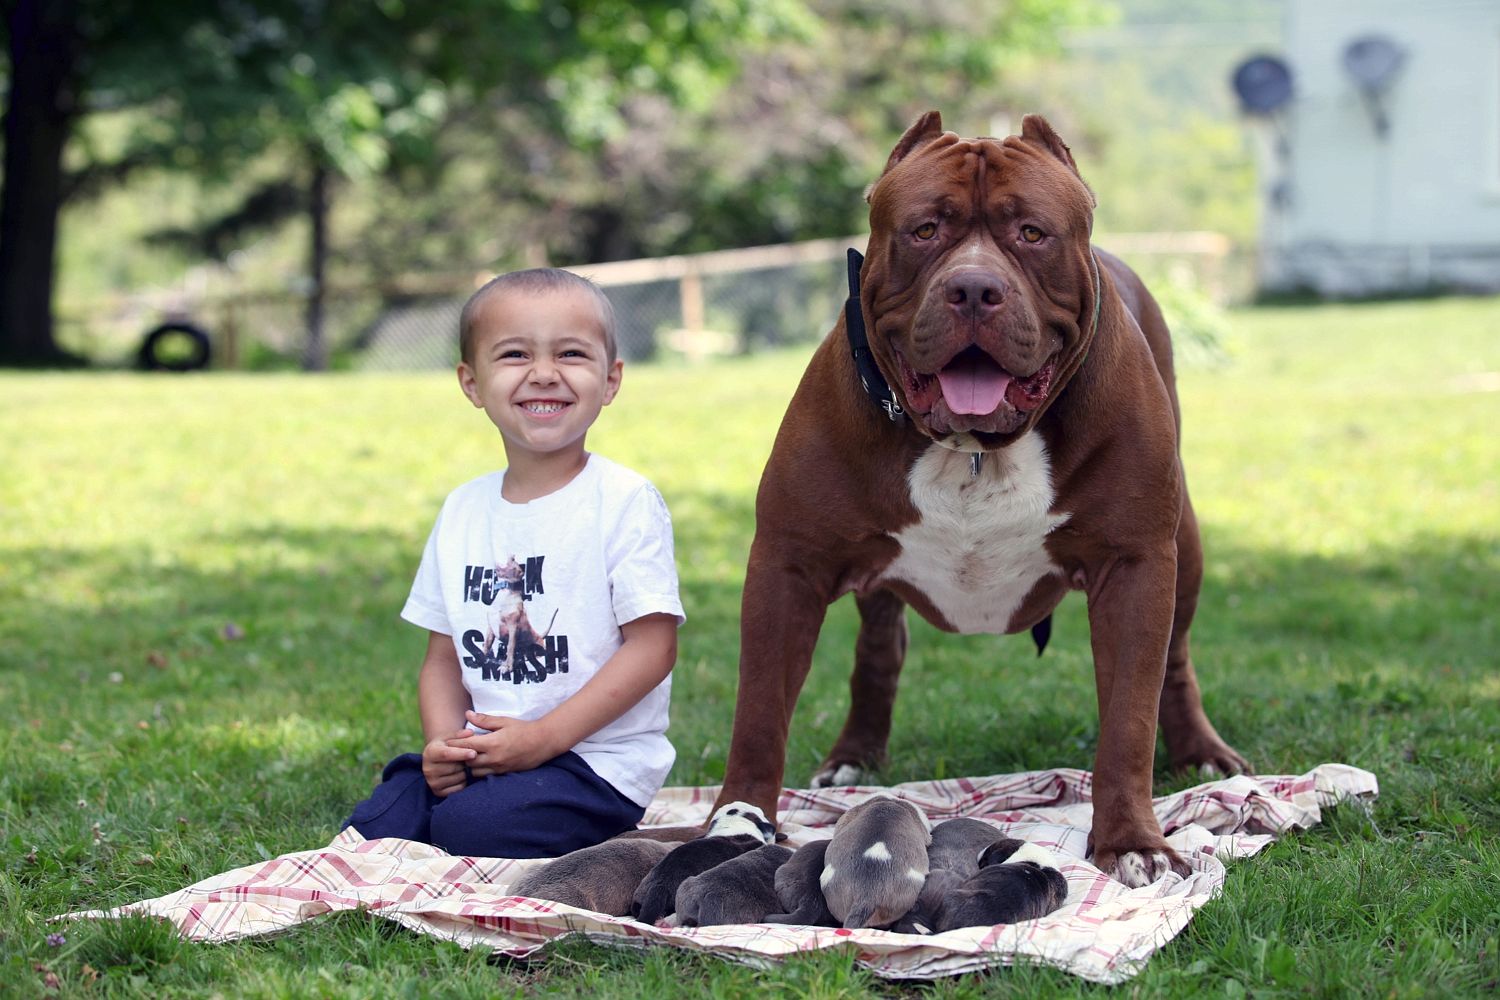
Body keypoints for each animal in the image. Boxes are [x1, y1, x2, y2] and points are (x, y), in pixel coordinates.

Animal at [708, 109, 1248, 887]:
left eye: (1032, 233)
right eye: (925, 229)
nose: (971, 290)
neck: (973, 451)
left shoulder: (1135, 566)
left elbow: (1128, 719)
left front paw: (1132, 842)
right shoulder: (788, 566)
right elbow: (758, 712)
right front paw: (737, 822)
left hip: (1188, 548)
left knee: (1175, 662)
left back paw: (1202, 753)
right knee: (879, 647)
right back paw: (853, 760)